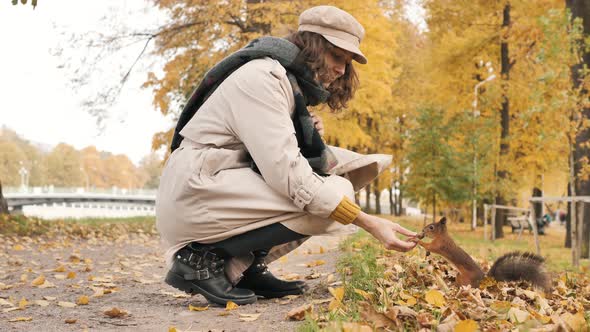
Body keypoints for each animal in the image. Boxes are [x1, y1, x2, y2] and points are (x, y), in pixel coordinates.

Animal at [412, 218, 552, 290]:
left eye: (431, 227)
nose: (422, 230)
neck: (442, 235)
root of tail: (483, 279)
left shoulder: (439, 245)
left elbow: (430, 246)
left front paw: (417, 240)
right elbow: (429, 249)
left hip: (466, 278)